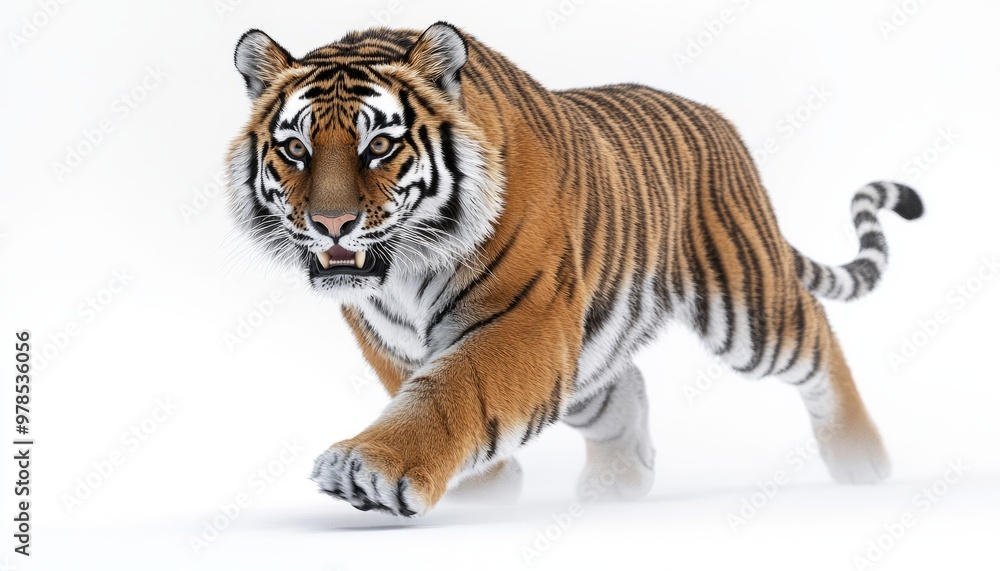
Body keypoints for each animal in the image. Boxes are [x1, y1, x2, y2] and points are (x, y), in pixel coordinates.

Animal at [226, 22, 924, 516]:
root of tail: (719, 120)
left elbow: (447, 395)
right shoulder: (390, 339)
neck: (403, 272)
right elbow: (423, 391)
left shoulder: (523, 320)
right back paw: (619, 483)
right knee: (622, 386)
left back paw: (863, 461)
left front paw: (373, 469)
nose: (331, 224)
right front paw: (488, 488)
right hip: (590, 342)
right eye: (295, 148)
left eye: (379, 146)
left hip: (745, 307)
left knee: (817, 333)